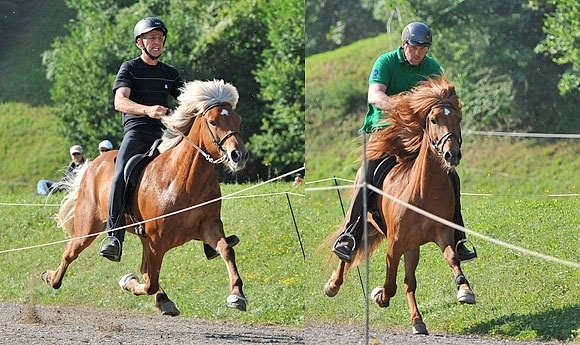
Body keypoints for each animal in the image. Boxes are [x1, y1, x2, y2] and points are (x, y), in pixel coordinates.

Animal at [40, 78, 249, 314]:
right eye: (212, 122)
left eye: (238, 120)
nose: (239, 155)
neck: (184, 181)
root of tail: (93, 164)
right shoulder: (156, 242)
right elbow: (150, 282)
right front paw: (127, 282)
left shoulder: (208, 226)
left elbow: (226, 250)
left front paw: (237, 295)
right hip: (88, 226)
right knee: (71, 252)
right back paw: (52, 278)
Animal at [324, 76, 474, 334]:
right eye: (433, 119)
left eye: (458, 119)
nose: (451, 155)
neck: (423, 193)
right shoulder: (394, 244)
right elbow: (390, 283)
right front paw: (379, 295)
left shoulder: (442, 234)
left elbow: (453, 260)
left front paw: (464, 290)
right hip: (365, 224)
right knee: (349, 248)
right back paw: (333, 283)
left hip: (412, 246)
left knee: (409, 282)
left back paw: (418, 321)